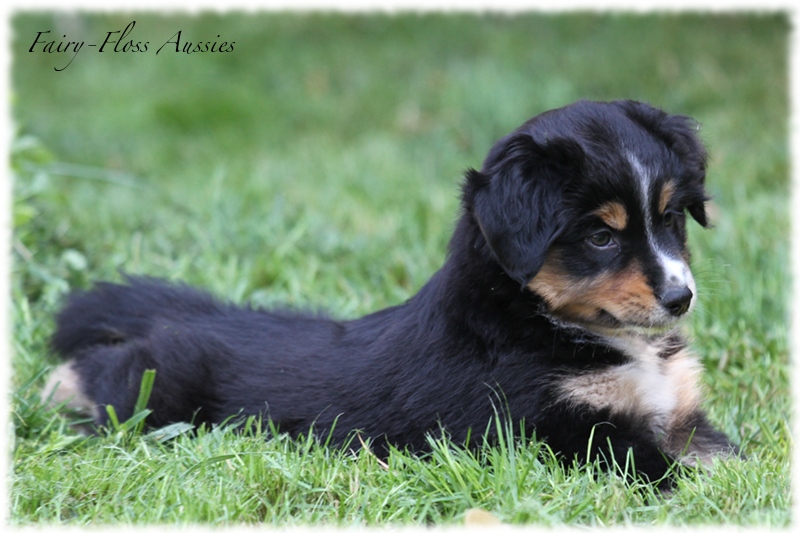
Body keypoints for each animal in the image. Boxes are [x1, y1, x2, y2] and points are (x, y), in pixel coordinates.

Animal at [47, 100, 740, 486]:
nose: (680, 298)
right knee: (99, 377)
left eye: (671, 218)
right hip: (156, 391)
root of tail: (204, 312)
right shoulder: (553, 430)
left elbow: (728, 457)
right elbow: (663, 472)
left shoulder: (682, 418)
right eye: (600, 236)